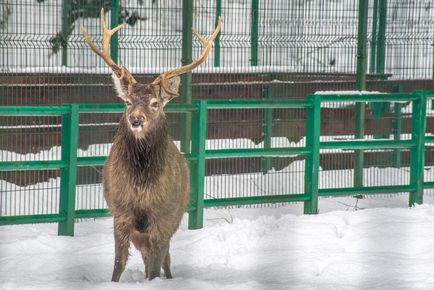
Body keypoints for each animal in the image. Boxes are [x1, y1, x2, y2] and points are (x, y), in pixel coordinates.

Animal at [81, 8, 222, 280]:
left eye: (155, 103)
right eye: (127, 101)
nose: (136, 119)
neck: (141, 191)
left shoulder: (163, 218)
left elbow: (155, 268)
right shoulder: (120, 214)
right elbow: (118, 264)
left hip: (173, 217)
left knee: (164, 260)